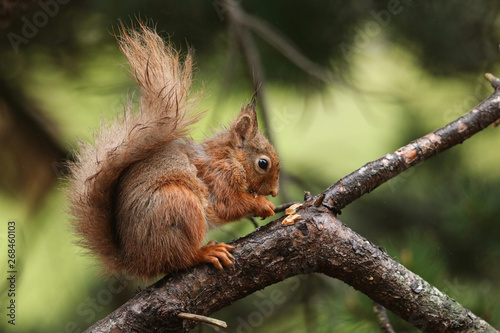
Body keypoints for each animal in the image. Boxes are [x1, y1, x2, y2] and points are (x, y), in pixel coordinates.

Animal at [67, 22, 280, 278]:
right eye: (263, 163)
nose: (275, 192)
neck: (229, 158)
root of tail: (138, 261)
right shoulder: (218, 178)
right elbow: (228, 205)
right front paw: (263, 205)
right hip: (178, 205)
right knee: (179, 259)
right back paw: (205, 252)